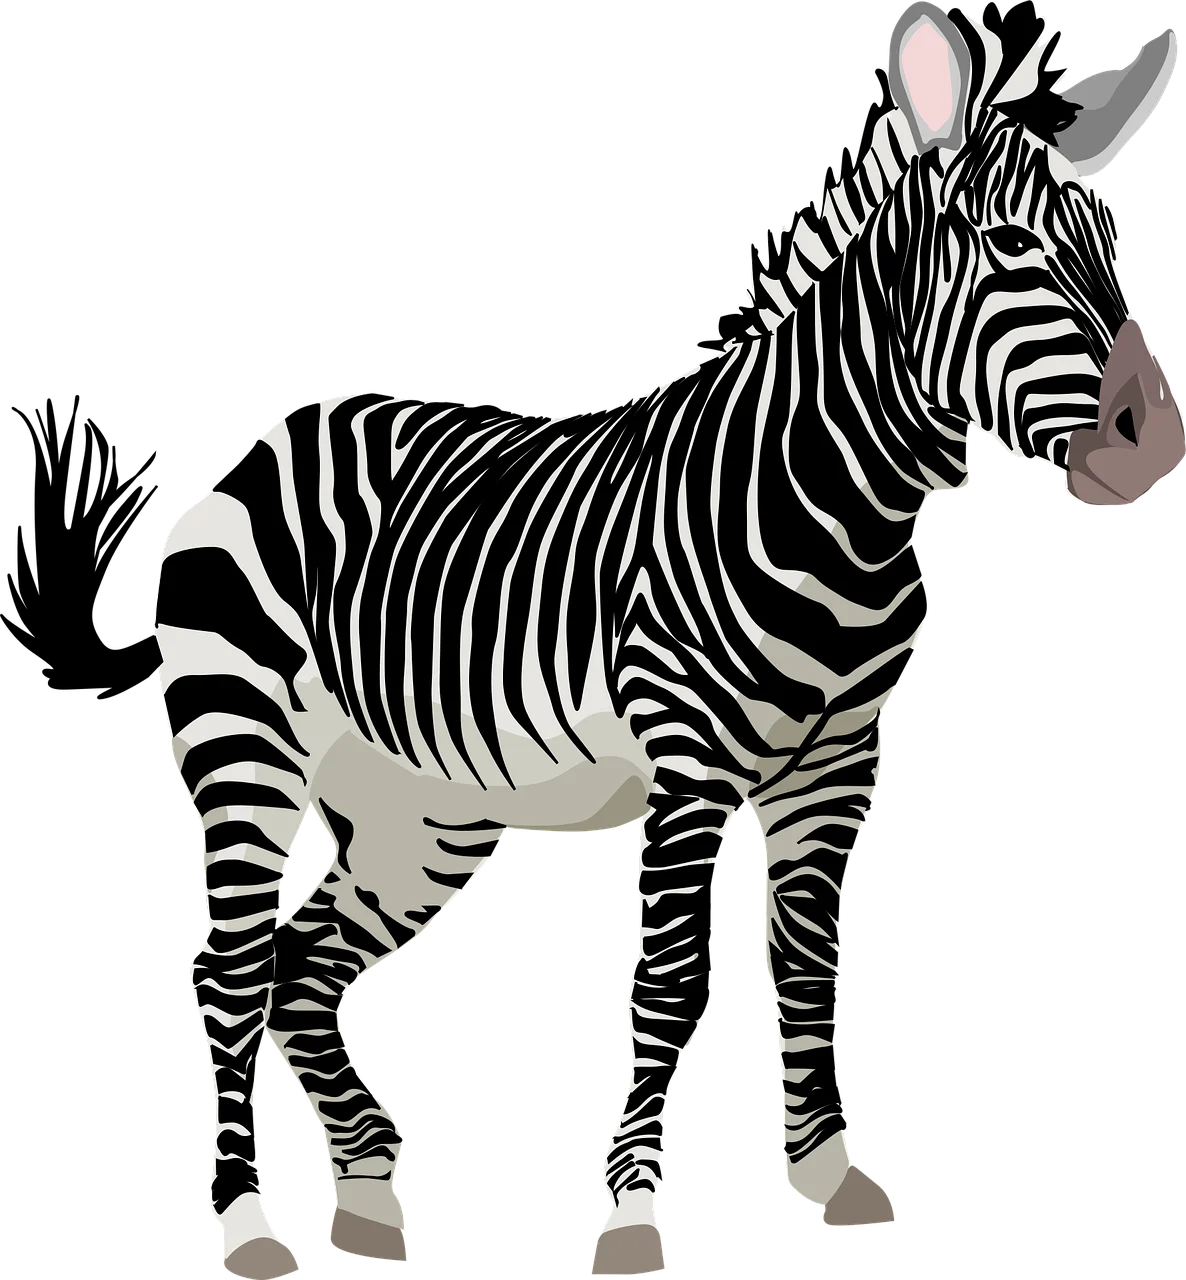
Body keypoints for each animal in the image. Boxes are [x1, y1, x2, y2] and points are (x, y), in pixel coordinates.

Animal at [153, 4, 1183, 1276]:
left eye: (1113, 245)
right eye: (1003, 243)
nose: (1152, 441)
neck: (841, 508)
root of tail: (281, 428)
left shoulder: (838, 767)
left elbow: (807, 963)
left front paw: (827, 1171)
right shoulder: (688, 767)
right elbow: (670, 982)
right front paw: (633, 1216)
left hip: (422, 815)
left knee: (303, 966)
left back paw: (367, 1192)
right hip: (244, 752)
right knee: (230, 970)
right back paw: (249, 1223)